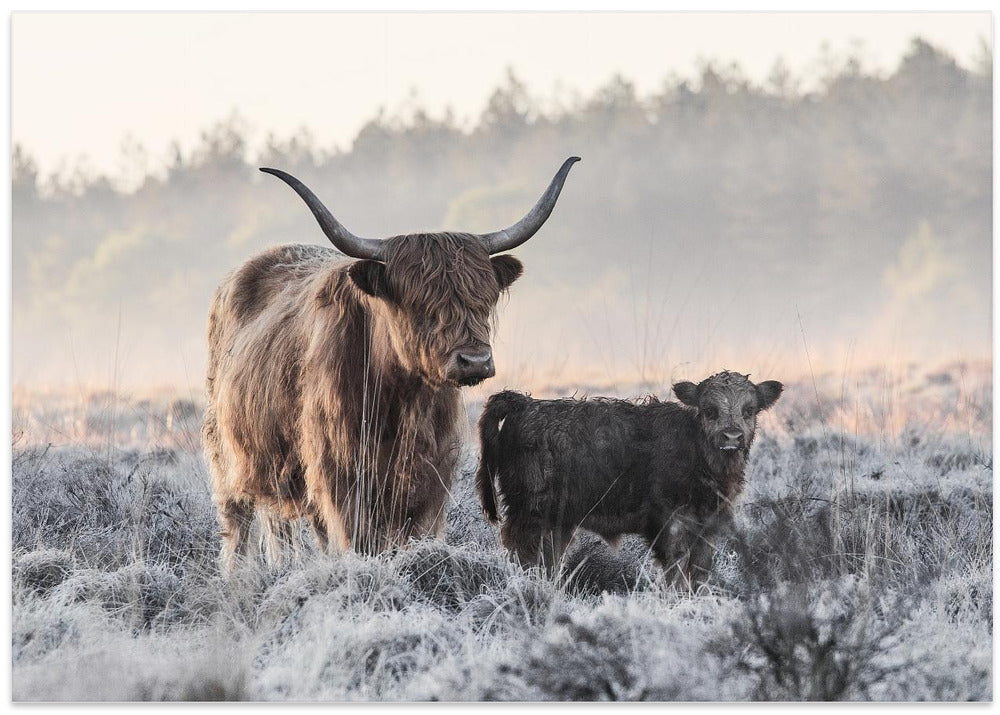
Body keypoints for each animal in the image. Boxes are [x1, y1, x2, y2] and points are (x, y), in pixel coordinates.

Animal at [203, 157, 580, 570]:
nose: (475, 361)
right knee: (238, 527)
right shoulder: (341, 478)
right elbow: (358, 541)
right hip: (228, 459)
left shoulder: (431, 482)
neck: (402, 400)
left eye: (483, 299)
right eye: (419, 304)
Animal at [475, 371, 783, 588]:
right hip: (529, 513)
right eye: (709, 410)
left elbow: (700, 573)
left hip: (557, 523)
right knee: (523, 555)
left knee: (548, 560)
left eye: (749, 410)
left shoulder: (707, 527)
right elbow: (677, 571)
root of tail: (525, 404)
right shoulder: (670, 524)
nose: (732, 437)